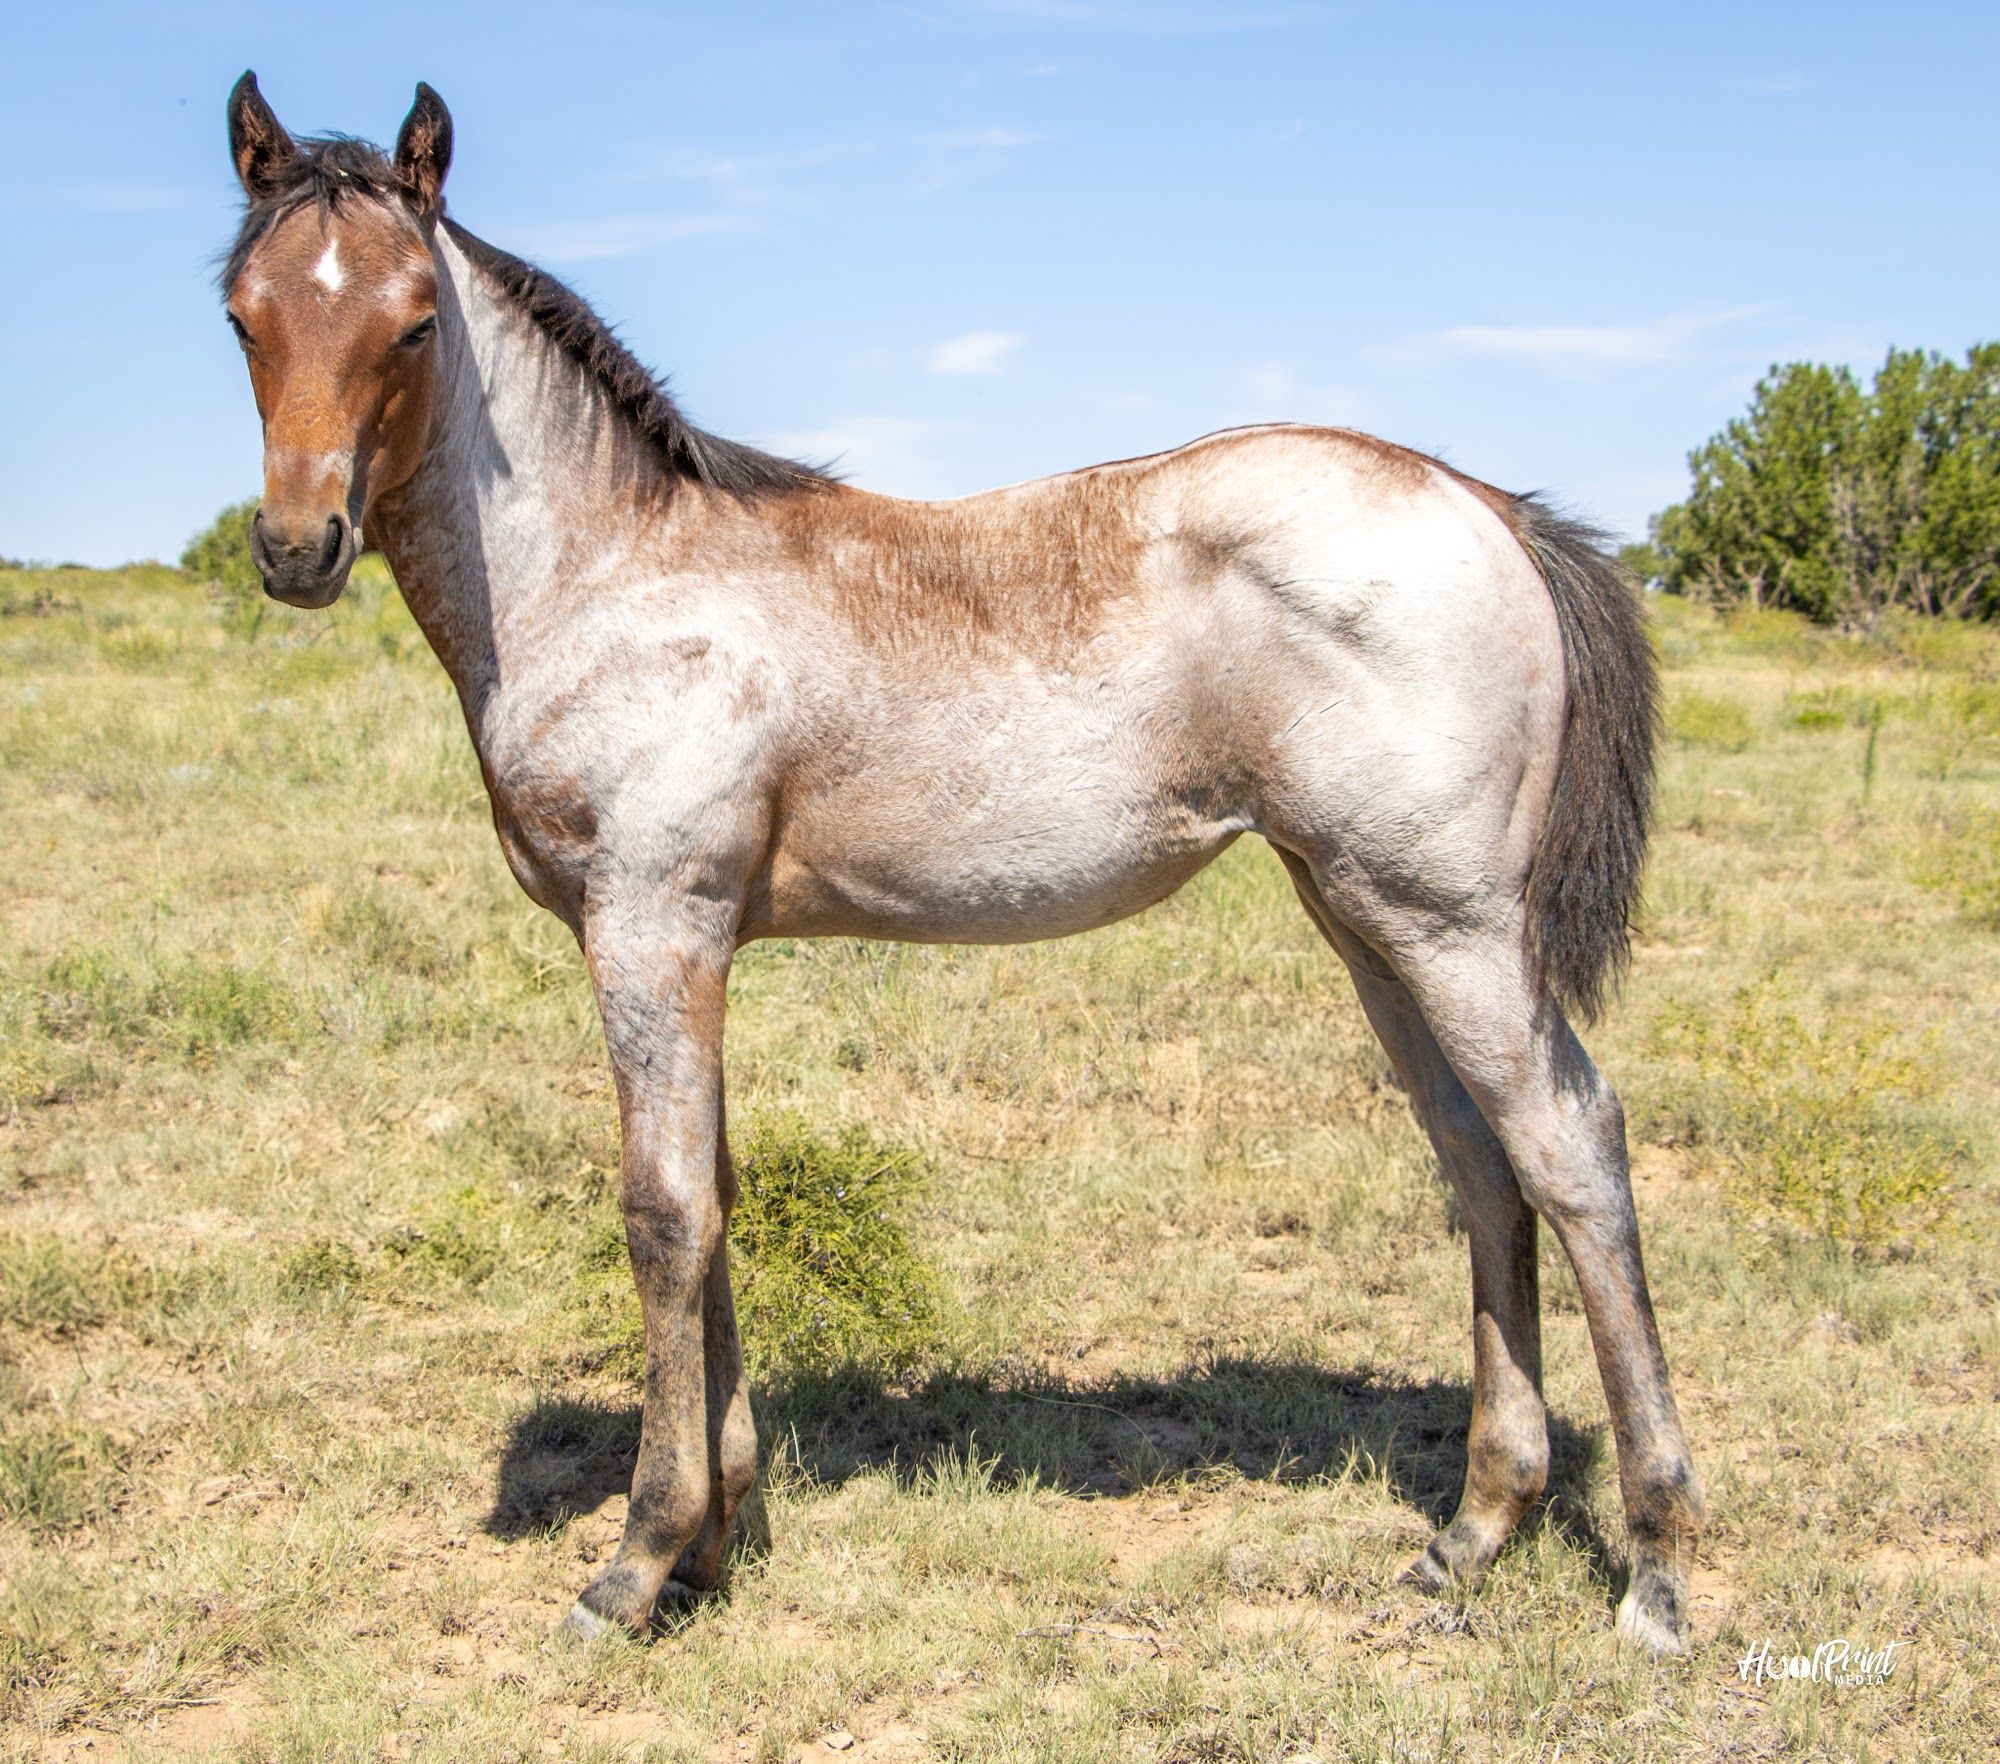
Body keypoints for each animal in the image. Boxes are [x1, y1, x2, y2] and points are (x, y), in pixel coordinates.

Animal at [216, 72, 1701, 1653]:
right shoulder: (692, 949)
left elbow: (664, 1214)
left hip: (1452, 923)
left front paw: (636, 1562)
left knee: (1572, 1151)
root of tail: (1487, 505)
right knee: (1479, 1166)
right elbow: (720, 1196)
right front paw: (718, 1544)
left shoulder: (648, 926)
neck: (613, 578)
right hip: (1365, 919)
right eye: (244, 315)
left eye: (411, 321)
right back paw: (1471, 1535)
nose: (298, 547)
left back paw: (1657, 1570)